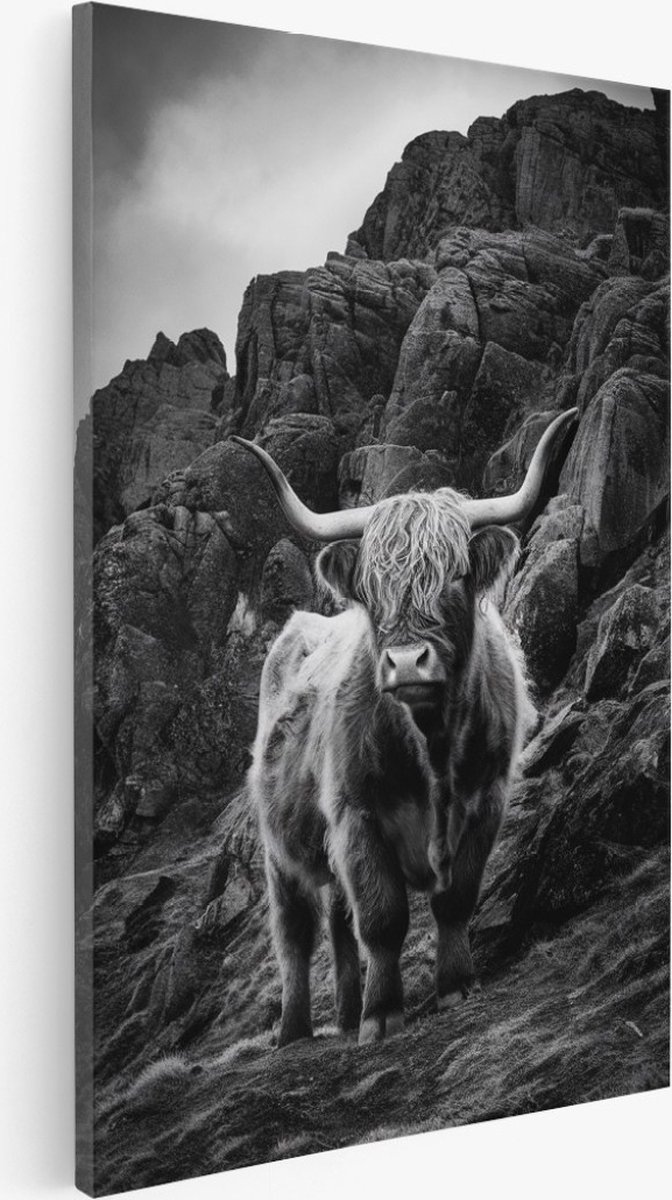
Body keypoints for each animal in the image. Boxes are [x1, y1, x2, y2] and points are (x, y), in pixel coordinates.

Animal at [233, 409, 576, 1047]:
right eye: (370, 587)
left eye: (457, 575)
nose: (408, 662)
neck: (432, 747)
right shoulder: (356, 815)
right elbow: (382, 916)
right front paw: (381, 1014)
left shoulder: (486, 798)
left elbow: (455, 899)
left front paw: (455, 985)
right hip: (277, 849)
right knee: (295, 934)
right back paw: (296, 1029)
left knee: (337, 923)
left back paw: (343, 1016)